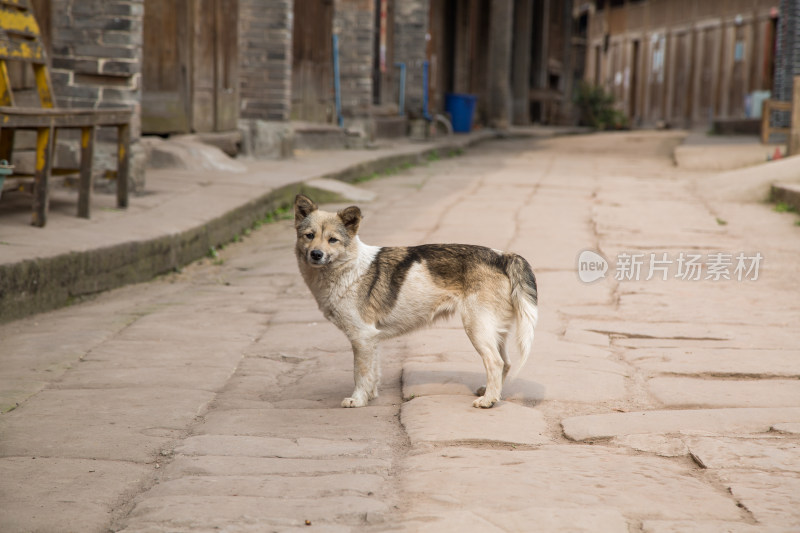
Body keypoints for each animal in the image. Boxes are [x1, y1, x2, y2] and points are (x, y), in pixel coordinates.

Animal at [292, 194, 536, 408]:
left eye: (333, 240)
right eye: (309, 235)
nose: (316, 254)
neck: (348, 268)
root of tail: (502, 256)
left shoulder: (361, 337)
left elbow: (359, 374)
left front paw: (357, 400)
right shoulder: (371, 339)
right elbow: (372, 373)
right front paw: (369, 397)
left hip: (477, 329)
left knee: (495, 362)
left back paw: (488, 401)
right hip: (494, 331)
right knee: (506, 363)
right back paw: (492, 393)